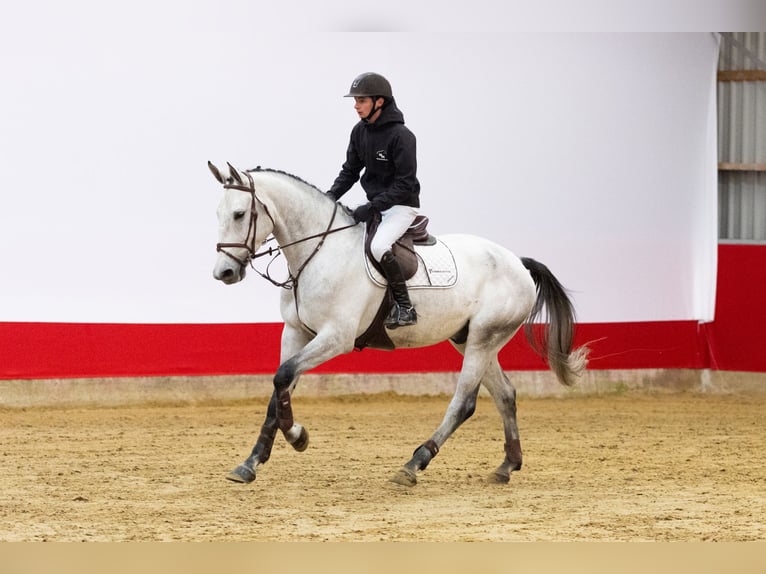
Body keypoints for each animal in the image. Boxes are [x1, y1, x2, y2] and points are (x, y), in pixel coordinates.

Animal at [209, 161, 589, 486]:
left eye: (240, 214)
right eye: (219, 214)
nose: (223, 273)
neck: (318, 253)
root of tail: (518, 262)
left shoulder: (336, 336)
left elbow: (283, 377)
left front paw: (298, 436)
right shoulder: (296, 333)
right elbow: (279, 390)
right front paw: (250, 463)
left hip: (484, 337)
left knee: (463, 402)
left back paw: (413, 464)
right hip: (470, 339)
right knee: (506, 394)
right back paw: (507, 465)